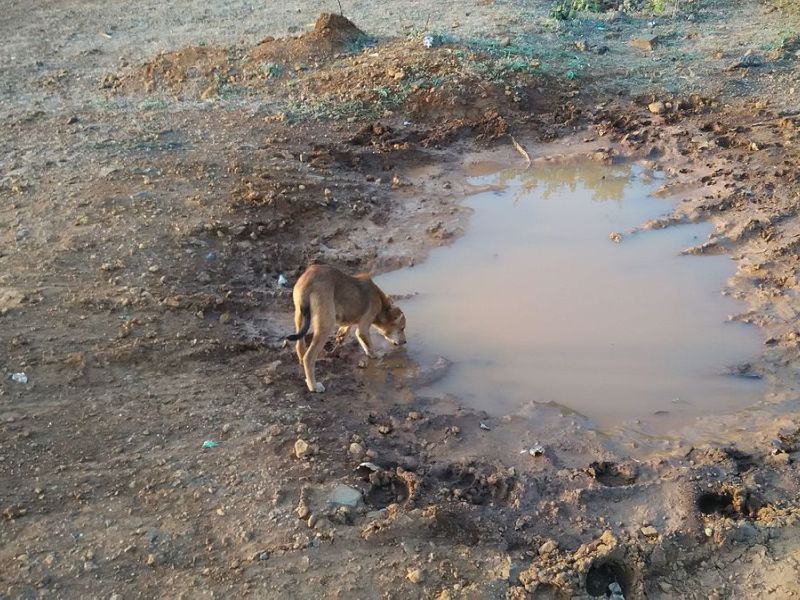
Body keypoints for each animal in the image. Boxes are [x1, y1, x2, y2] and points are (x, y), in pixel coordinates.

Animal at [286, 264, 406, 392]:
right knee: (309, 357)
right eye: (402, 328)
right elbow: (368, 343)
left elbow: (357, 337)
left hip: (299, 317)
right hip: (326, 325)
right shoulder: (363, 327)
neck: (382, 306)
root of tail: (308, 280)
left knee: (300, 346)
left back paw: (303, 366)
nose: (405, 342)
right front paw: (375, 355)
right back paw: (313, 386)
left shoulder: (356, 325)